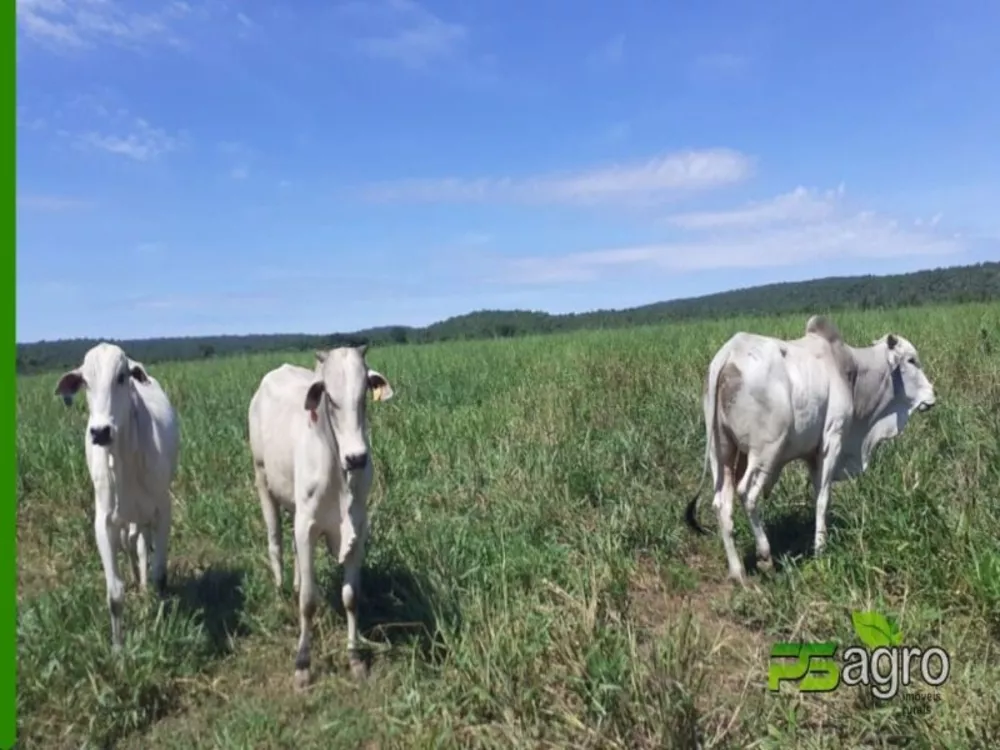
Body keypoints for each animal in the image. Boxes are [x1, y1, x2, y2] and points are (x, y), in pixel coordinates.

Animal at [55, 344, 180, 648]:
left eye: (122, 377)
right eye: (85, 382)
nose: (100, 432)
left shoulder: (162, 511)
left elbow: (159, 575)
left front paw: (158, 625)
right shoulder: (105, 522)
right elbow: (114, 593)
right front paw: (118, 647)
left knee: (141, 548)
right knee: (132, 545)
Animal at [246, 344, 394, 692]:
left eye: (363, 396)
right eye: (331, 398)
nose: (357, 457)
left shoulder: (358, 530)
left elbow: (351, 596)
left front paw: (355, 657)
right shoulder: (307, 527)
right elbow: (309, 601)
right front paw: (303, 664)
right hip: (262, 481)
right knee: (275, 541)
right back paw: (281, 591)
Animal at [684, 314, 932, 584]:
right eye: (911, 360)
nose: (932, 394)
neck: (850, 370)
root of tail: (729, 355)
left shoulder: (812, 454)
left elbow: (816, 494)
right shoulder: (832, 440)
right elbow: (824, 498)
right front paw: (821, 549)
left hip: (722, 454)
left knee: (722, 504)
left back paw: (738, 573)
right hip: (765, 452)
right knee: (747, 494)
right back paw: (765, 557)